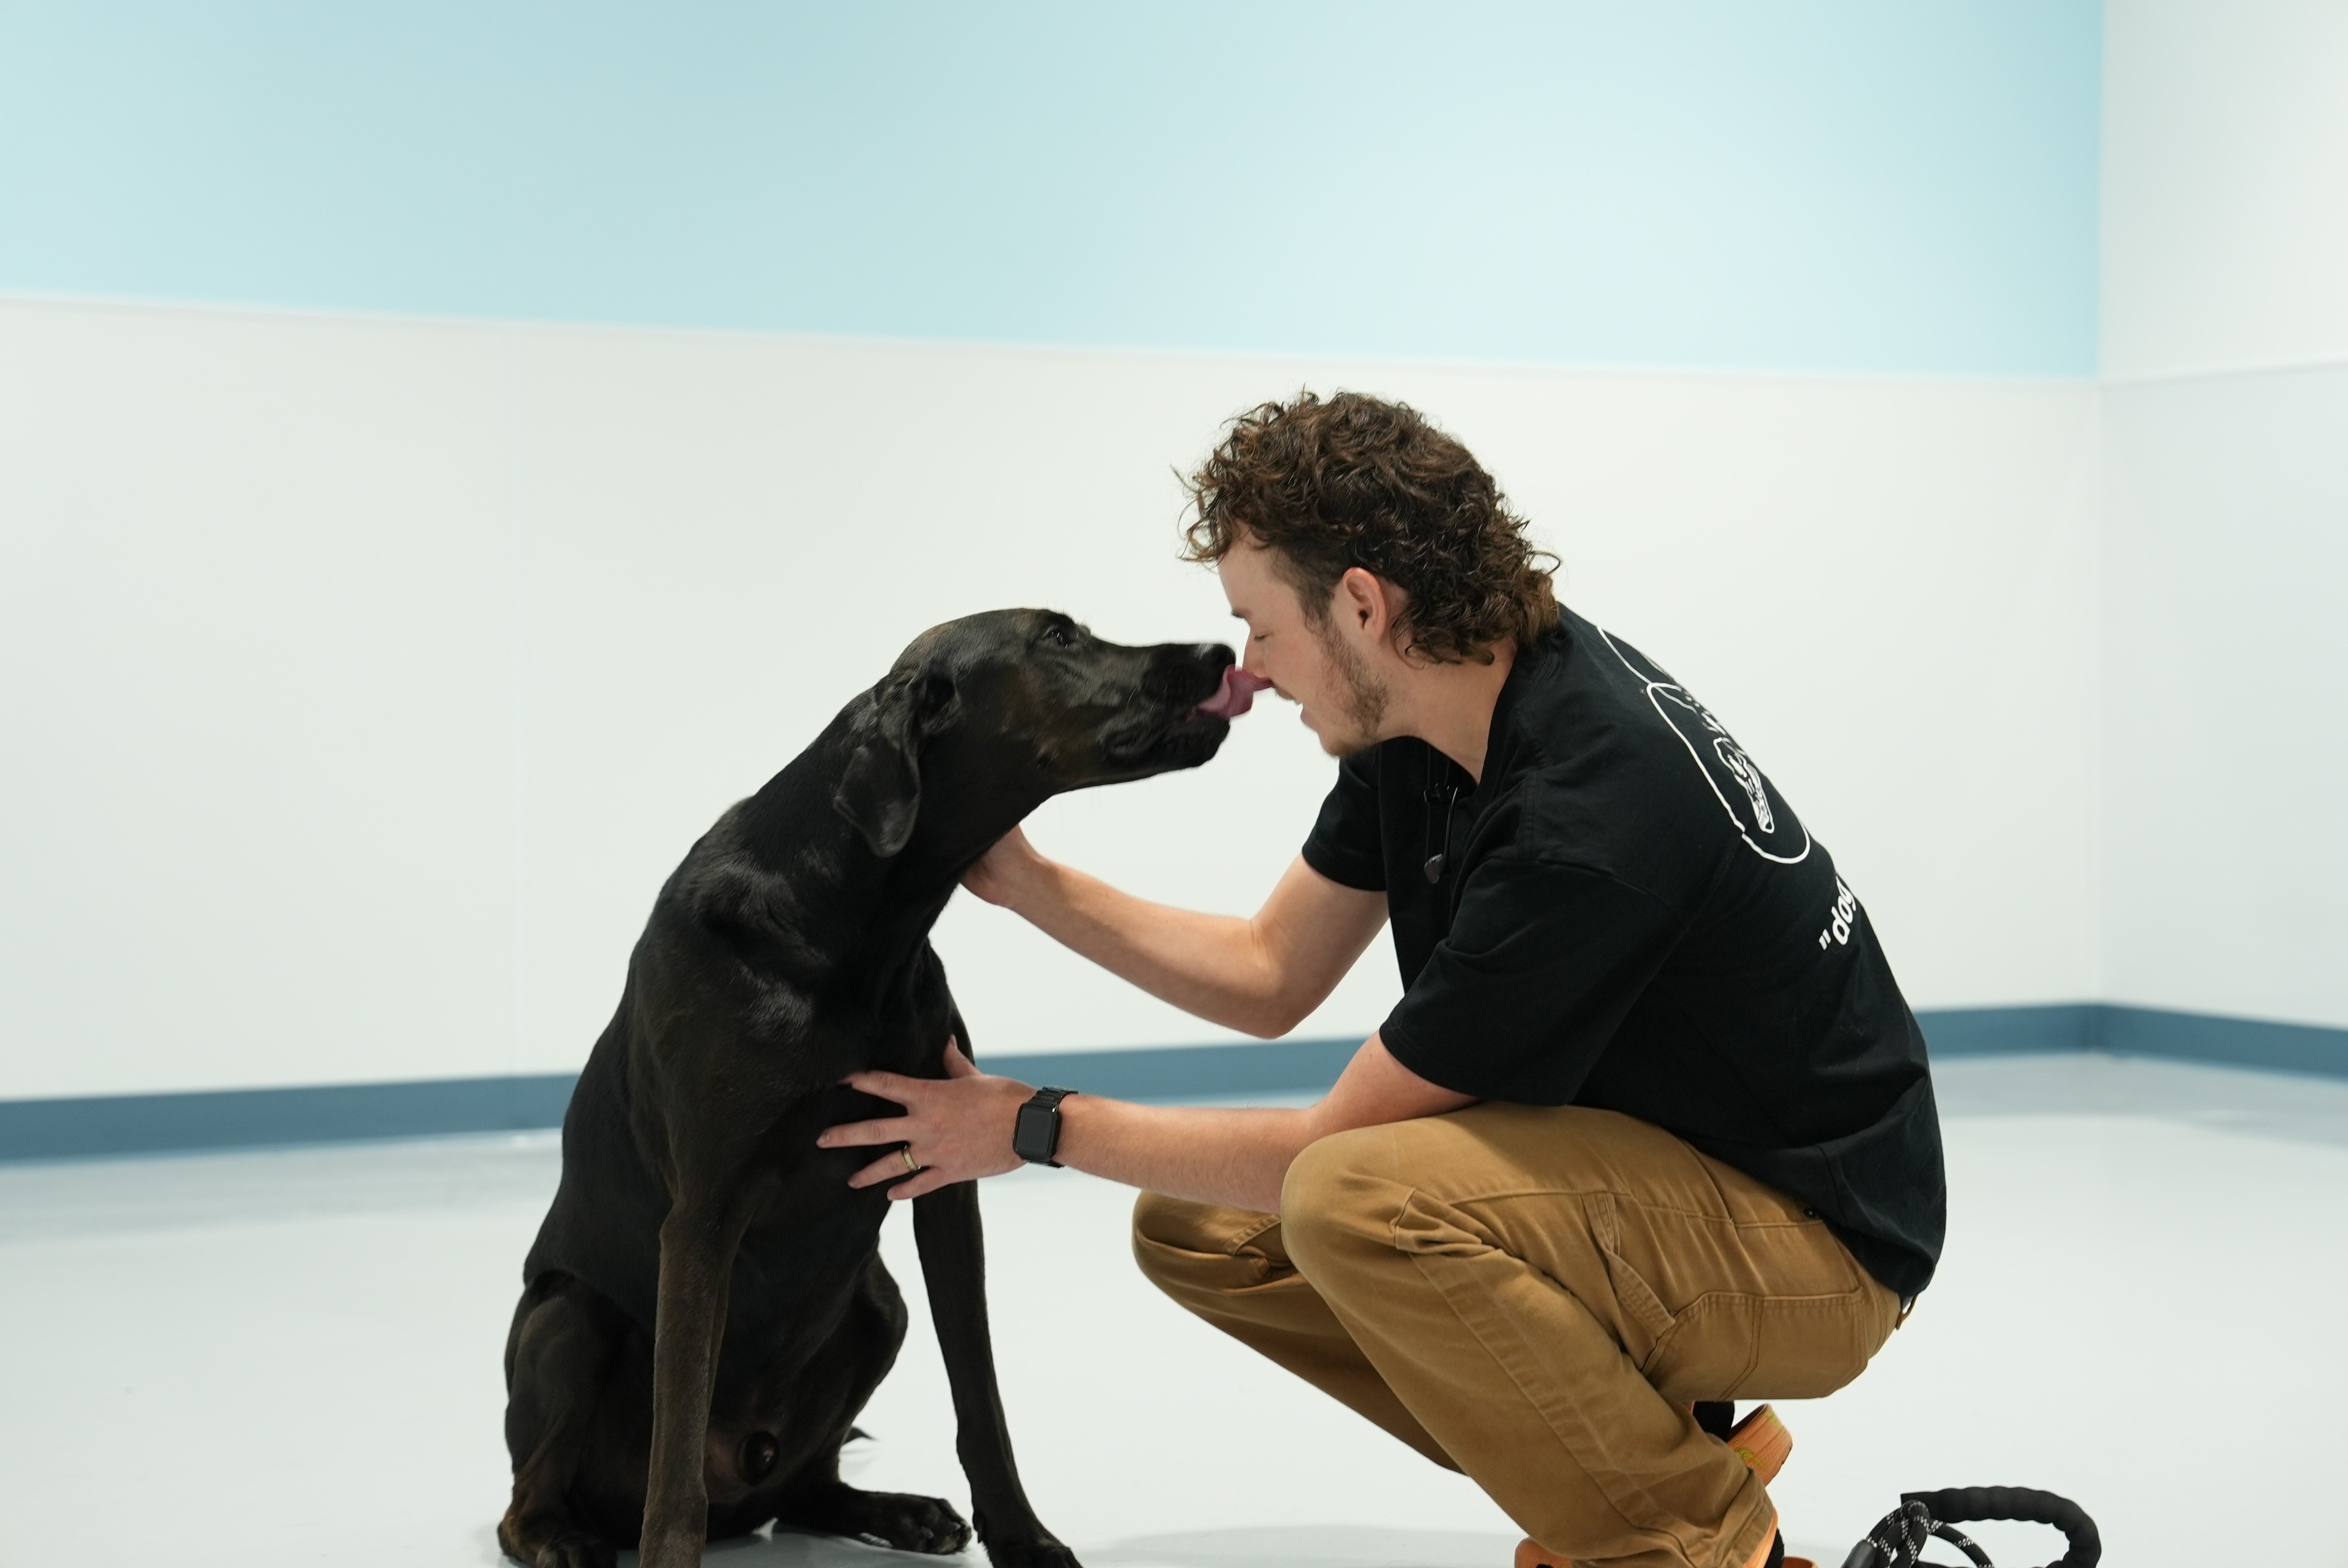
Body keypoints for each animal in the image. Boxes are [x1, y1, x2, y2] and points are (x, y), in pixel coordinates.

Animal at [502, 610, 1239, 1568]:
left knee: (807, 1487)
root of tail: (749, 1484)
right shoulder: (702, 1217)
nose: (1221, 653)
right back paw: (560, 1537)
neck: (855, 925)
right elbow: (677, 1453)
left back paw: (896, 1512)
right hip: (568, 1319)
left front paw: (1024, 1539)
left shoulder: (947, 1182)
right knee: (538, 1492)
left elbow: (980, 1395)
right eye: (1058, 637)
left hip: (878, 1308)